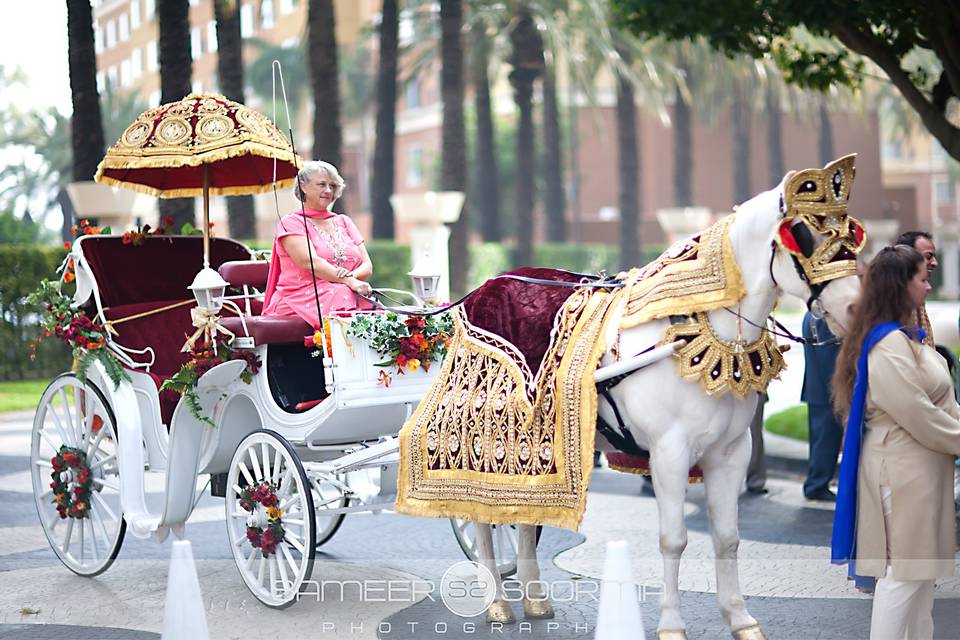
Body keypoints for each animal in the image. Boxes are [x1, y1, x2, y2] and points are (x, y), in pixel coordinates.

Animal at [472, 156, 864, 640]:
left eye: (851, 233)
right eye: (805, 235)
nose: (855, 309)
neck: (701, 332)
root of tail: (486, 285)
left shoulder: (730, 452)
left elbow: (727, 538)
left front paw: (740, 618)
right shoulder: (669, 452)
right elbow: (674, 539)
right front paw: (672, 624)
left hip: (540, 446)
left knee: (527, 511)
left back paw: (534, 598)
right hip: (491, 441)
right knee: (483, 516)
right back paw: (496, 601)